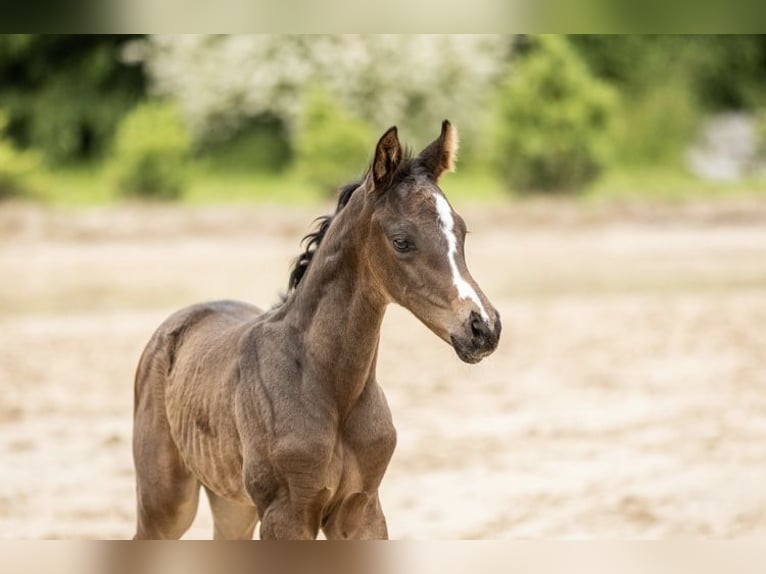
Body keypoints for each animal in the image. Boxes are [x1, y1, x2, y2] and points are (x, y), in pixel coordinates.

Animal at [132, 121, 504, 540]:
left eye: (462, 232)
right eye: (401, 241)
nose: (483, 326)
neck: (329, 384)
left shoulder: (361, 508)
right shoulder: (286, 513)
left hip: (233, 504)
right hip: (166, 500)